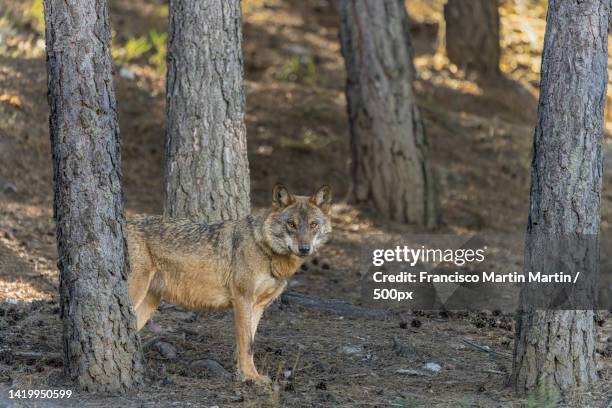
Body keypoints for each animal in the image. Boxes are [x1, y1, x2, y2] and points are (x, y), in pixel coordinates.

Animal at [126, 184, 332, 382]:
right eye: (291, 224)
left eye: (313, 224)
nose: (304, 249)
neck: (264, 250)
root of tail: (126, 222)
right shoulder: (242, 300)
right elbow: (246, 344)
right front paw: (251, 377)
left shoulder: (258, 306)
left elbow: (249, 342)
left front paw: (244, 374)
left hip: (149, 303)